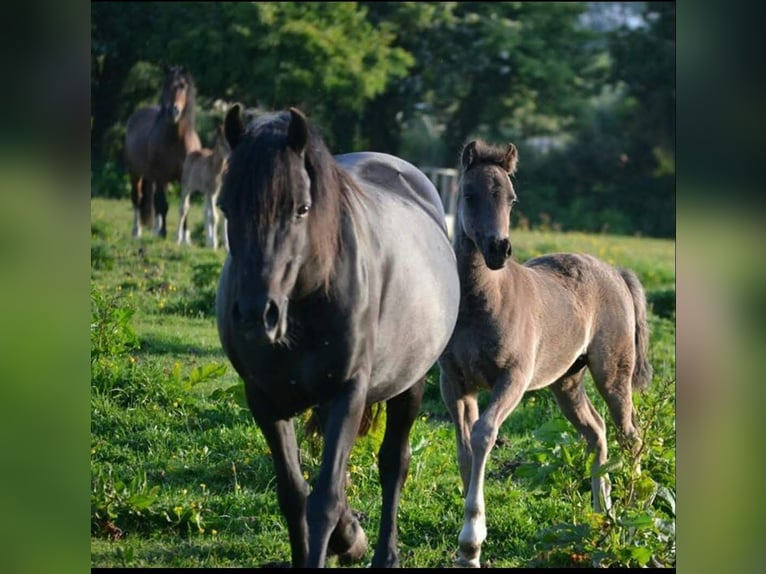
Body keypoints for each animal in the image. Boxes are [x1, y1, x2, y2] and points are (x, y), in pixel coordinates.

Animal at [124, 64, 201, 239]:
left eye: (182, 86)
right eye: (166, 85)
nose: (173, 111)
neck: (177, 140)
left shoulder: (185, 179)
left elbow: (185, 206)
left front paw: (185, 236)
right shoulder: (161, 176)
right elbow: (164, 205)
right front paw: (164, 233)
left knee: (154, 201)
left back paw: (155, 229)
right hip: (136, 174)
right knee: (138, 199)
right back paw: (136, 231)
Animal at [215, 105, 460, 568]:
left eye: (302, 208)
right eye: (224, 205)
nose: (255, 315)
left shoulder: (348, 391)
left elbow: (324, 499)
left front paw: (345, 539)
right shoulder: (264, 398)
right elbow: (295, 494)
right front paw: (339, 540)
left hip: (410, 384)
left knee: (393, 463)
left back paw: (383, 553)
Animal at [438, 139, 653, 567]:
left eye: (512, 198)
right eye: (468, 195)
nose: (498, 248)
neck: (480, 301)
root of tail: (616, 272)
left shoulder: (513, 379)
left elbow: (484, 436)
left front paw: (472, 540)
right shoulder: (454, 383)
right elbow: (465, 451)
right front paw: (467, 550)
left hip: (613, 374)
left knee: (630, 435)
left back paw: (633, 511)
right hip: (567, 382)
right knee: (597, 432)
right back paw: (602, 514)